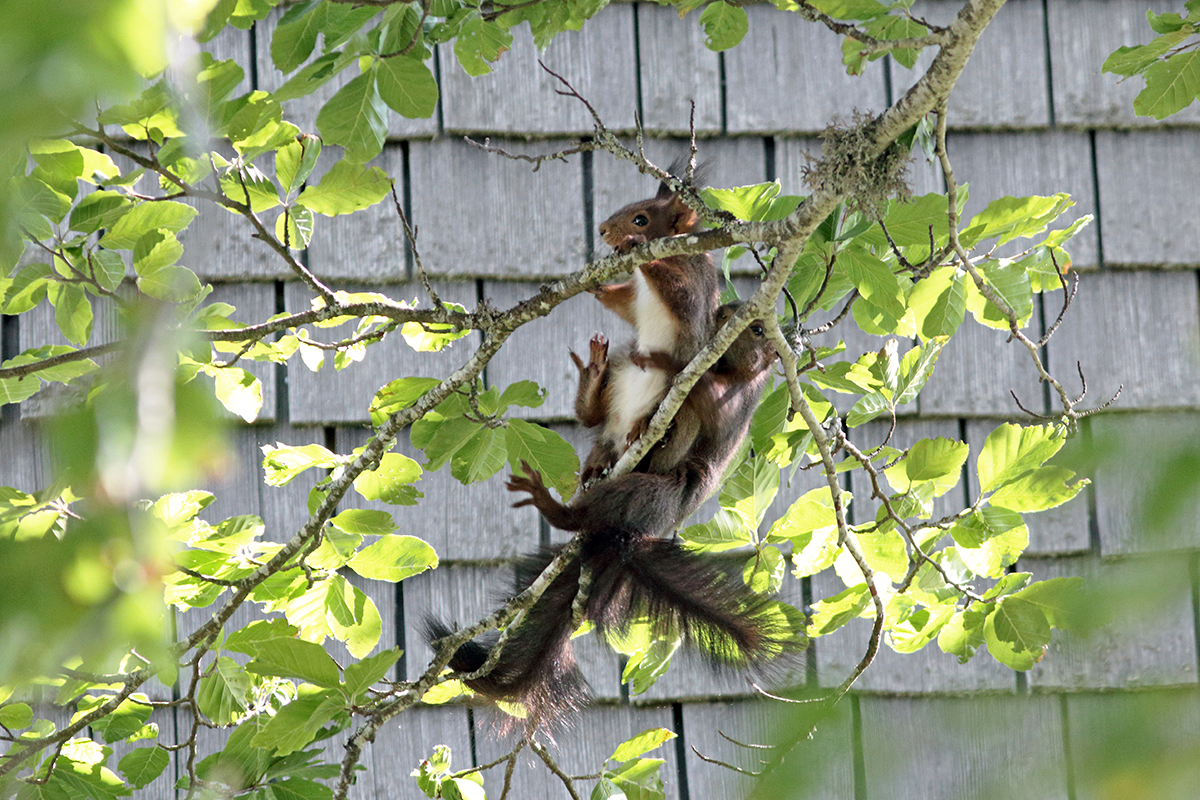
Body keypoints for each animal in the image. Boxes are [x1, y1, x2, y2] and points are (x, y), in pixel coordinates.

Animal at [427, 304, 801, 734]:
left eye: (758, 329)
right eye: (723, 310)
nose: (723, 315)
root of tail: (624, 538)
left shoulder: (738, 400)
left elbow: (714, 409)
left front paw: (668, 362)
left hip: (655, 493)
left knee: (629, 480)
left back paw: (560, 506)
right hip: (609, 452)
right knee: (595, 425)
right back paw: (595, 401)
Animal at [573, 155, 715, 482]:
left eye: (641, 219)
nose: (601, 229)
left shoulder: (694, 282)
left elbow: (681, 297)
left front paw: (634, 242)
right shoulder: (635, 296)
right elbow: (623, 304)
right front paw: (596, 285)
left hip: (676, 388)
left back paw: (642, 425)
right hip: (618, 371)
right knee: (591, 417)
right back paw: (594, 374)